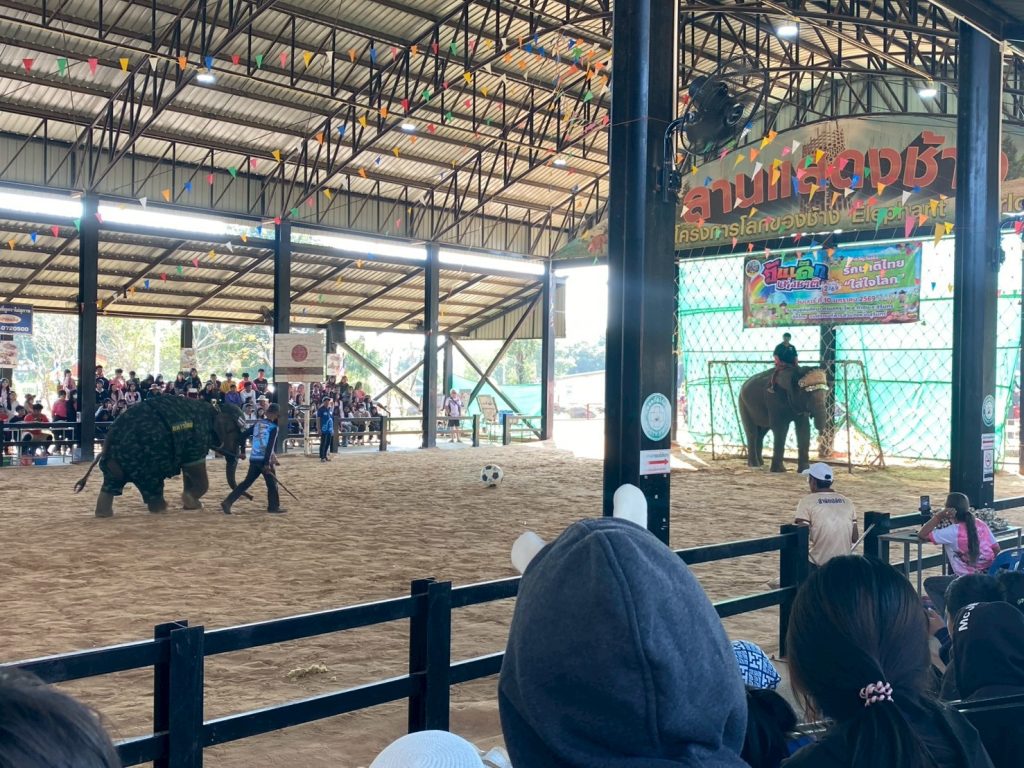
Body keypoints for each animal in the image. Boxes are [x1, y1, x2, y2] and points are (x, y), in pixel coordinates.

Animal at [74, 397, 246, 517]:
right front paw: (193, 503)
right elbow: (197, 472)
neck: (214, 409)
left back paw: (103, 514)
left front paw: (190, 505)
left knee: (112, 483)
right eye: (238, 437)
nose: (243, 456)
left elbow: (188, 472)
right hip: (143, 460)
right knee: (152, 485)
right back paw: (163, 509)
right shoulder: (197, 439)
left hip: (116, 460)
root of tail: (110, 435)